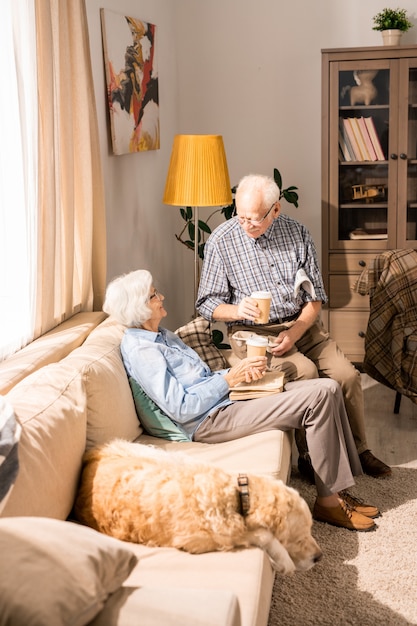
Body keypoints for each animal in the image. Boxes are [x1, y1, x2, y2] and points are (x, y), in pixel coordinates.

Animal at [75, 436, 322, 572]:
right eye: (300, 538)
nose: (319, 557)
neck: (237, 496)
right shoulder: (196, 541)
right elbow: (261, 535)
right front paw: (283, 559)